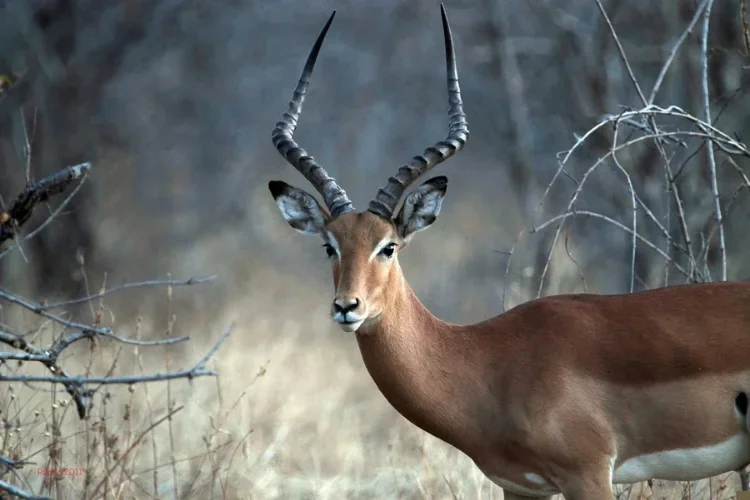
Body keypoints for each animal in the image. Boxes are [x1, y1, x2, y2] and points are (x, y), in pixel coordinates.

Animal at [267, 5, 750, 499]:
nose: (347, 306)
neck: (487, 362)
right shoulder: (520, 486)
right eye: (330, 245)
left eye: (389, 246)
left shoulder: (589, 473)